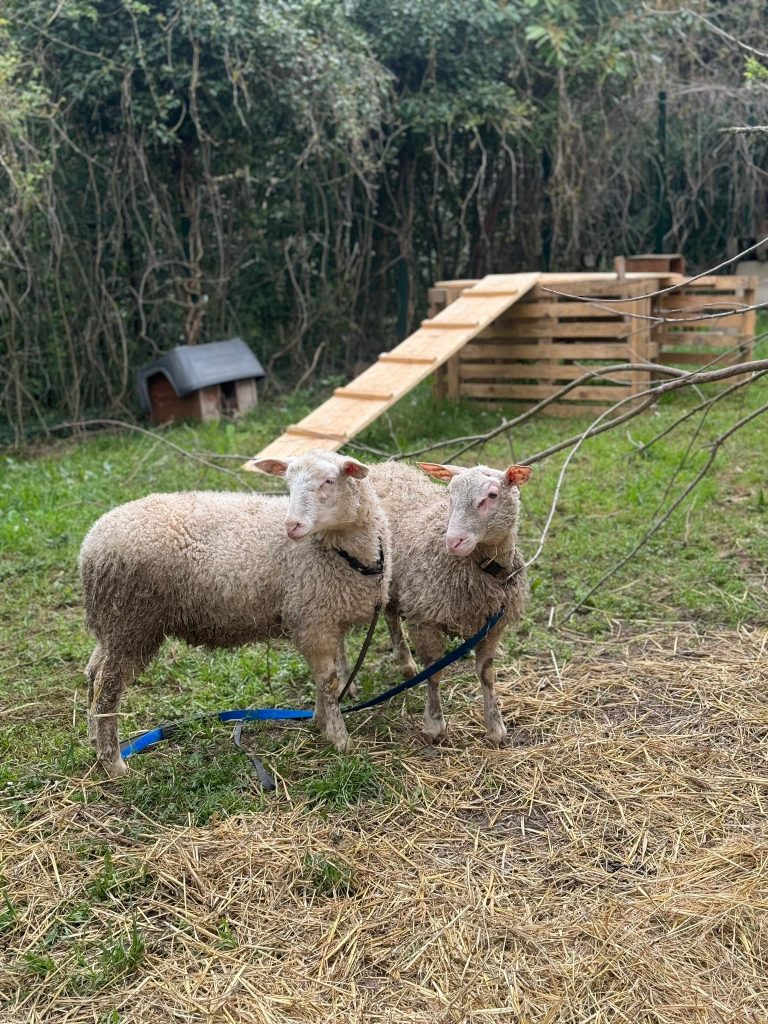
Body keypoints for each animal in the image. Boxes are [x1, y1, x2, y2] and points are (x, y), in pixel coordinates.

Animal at [79, 450, 390, 777]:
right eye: (288, 482)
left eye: (329, 481)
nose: (291, 525)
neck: (346, 555)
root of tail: (90, 546)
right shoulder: (313, 621)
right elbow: (329, 684)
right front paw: (341, 740)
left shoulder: (323, 621)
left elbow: (322, 681)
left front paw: (320, 723)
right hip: (132, 621)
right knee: (108, 688)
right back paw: (113, 762)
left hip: (112, 625)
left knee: (93, 672)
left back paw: (93, 737)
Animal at [367, 459, 531, 745]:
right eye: (450, 495)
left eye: (492, 495)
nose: (454, 541)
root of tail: (378, 466)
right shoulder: (425, 618)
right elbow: (434, 673)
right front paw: (434, 726)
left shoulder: (494, 624)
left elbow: (486, 674)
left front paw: (495, 727)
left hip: (393, 584)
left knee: (390, 614)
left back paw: (405, 664)